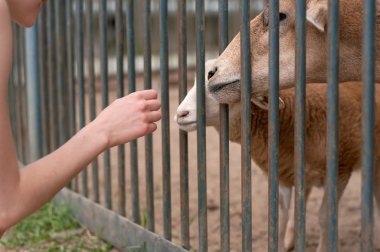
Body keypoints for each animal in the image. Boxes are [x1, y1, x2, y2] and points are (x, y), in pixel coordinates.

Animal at [175, 59, 380, 252]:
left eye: (216, 84)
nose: (180, 114)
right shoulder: (281, 175)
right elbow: (279, 219)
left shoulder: (340, 170)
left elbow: (324, 216)